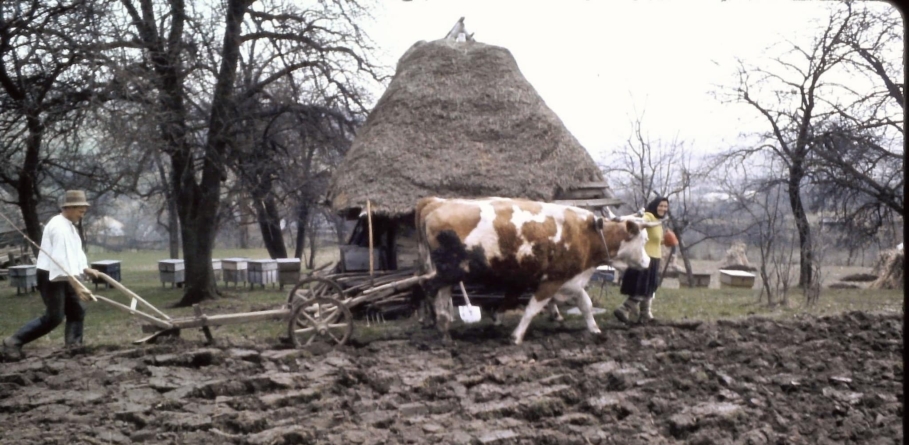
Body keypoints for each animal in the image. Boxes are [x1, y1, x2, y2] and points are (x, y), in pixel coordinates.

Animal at [414, 196, 656, 346]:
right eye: (644, 240)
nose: (647, 262)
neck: (586, 233)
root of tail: (436, 203)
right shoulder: (552, 280)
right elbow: (531, 309)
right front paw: (516, 336)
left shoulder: (571, 280)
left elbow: (586, 305)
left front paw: (595, 331)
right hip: (449, 272)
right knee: (429, 289)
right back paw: (442, 329)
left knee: (437, 295)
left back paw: (444, 330)